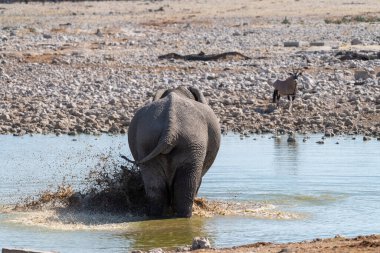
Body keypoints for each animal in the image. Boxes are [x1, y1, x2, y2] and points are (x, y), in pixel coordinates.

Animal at [129, 86, 221, 216]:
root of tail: (170, 131)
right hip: (192, 143)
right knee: (187, 183)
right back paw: (185, 215)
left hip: (146, 142)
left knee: (155, 185)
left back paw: (156, 215)